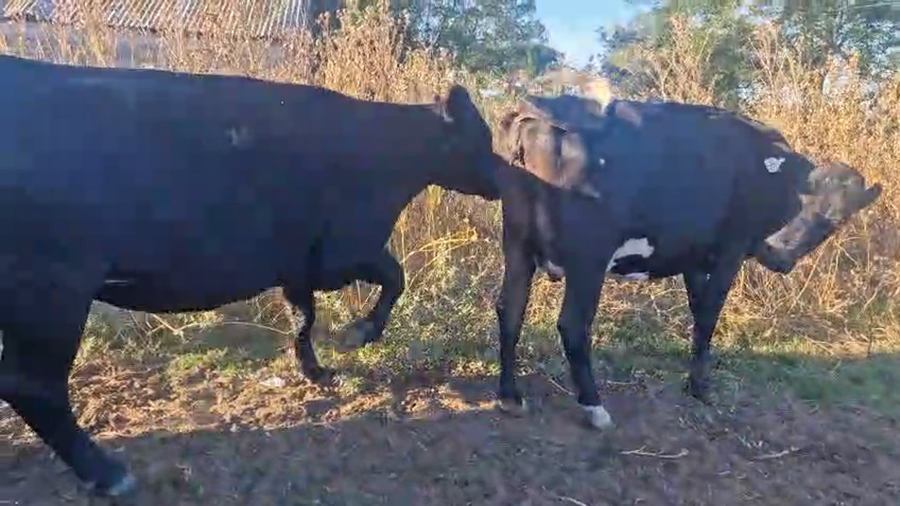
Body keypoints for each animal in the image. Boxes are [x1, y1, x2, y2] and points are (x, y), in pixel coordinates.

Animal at [0, 54, 502, 498]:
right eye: (482, 135)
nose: (501, 180)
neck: (391, 152)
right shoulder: (346, 248)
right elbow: (394, 278)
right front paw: (359, 333)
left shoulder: (299, 263)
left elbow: (304, 317)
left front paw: (316, 371)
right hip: (53, 288)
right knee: (32, 385)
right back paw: (108, 474)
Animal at [493, 93, 882, 431]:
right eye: (804, 196)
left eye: (837, 220)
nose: (781, 251)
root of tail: (534, 115)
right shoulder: (730, 250)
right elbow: (709, 313)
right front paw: (700, 387)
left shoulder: (695, 258)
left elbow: (698, 312)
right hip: (588, 258)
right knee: (573, 325)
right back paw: (594, 407)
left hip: (517, 245)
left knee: (510, 309)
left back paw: (510, 396)